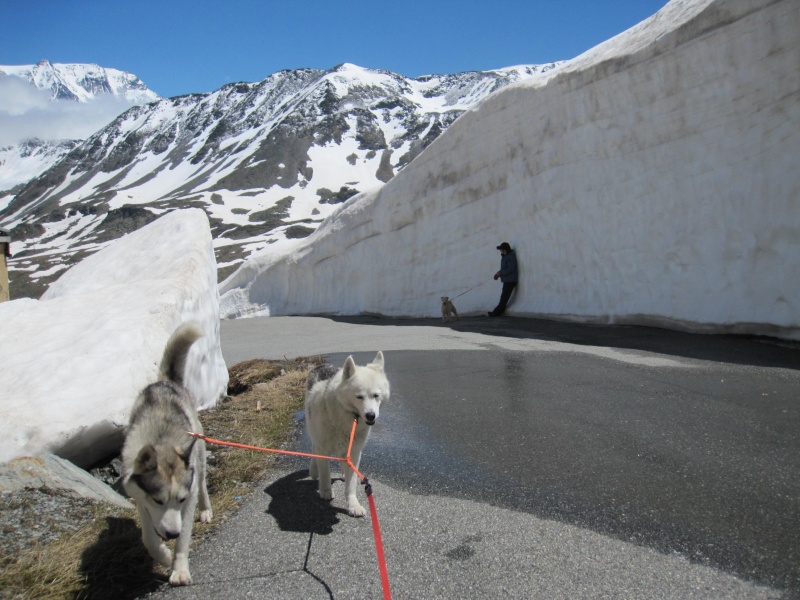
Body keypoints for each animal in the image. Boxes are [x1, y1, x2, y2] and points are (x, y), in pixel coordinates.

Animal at [120, 324, 211, 584]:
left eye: (180, 499)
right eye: (158, 500)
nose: (171, 533)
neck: (162, 442)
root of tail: (165, 382)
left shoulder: (187, 499)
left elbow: (184, 538)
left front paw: (179, 568)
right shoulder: (141, 499)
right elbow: (148, 538)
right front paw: (163, 555)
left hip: (199, 455)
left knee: (202, 483)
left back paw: (206, 509)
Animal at [304, 352, 390, 516]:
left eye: (376, 395)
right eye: (359, 397)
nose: (371, 415)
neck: (347, 418)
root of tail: (321, 365)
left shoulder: (355, 451)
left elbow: (351, 483)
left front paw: (353, 505)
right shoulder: (323, 448)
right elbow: (325, 474)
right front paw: (325, 492)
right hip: (313, 429)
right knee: (314, 448)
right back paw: (314, 469)